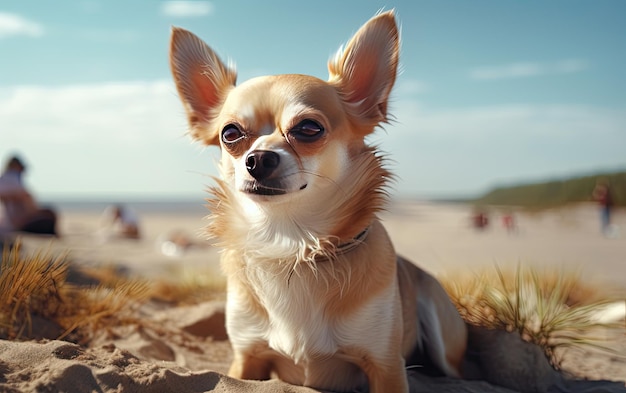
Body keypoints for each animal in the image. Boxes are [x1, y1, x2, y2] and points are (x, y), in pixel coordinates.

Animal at [168, 9, 466, 392]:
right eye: (230, 134)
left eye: (309, 129)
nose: (257, 159)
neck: (291, 245)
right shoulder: (246, 358)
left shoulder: (386, 366)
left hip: (444, 338)